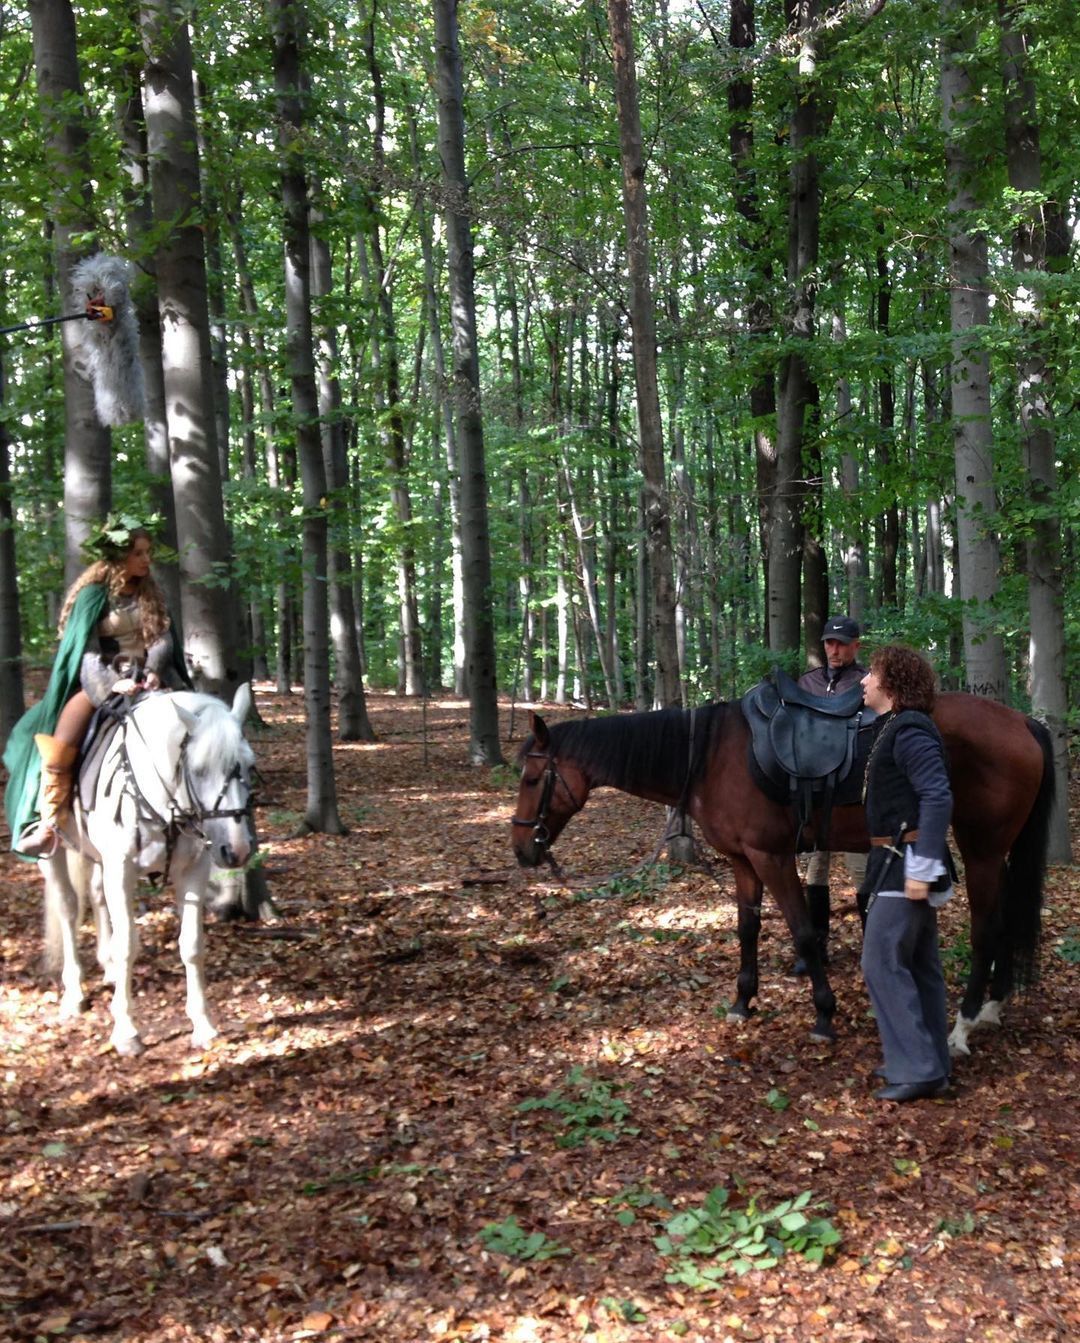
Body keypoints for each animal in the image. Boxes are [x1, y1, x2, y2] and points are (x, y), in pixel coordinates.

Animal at [41, 687, 256, 1052]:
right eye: (199, 770)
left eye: (248, 766)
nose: (236, 850)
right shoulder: (121, 870)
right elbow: (128, 945)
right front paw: (126, 1030)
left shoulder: (193, 871)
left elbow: (192, 944)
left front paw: (203, 1024)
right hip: (52, 853)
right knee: (68, 910)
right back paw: (74, 995)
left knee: (96, 897)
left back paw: (108, 969)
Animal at [510, 698, 1053, 1052]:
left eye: (532, 779)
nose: (521, 849)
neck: (708, 756)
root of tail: (1022, 721)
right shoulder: (742, 860)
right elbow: (747, 927)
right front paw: (742, 1001)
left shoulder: (771, 857)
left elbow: (804, 931)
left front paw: (824, 1014)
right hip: (996, 853)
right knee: (1003, 924)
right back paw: (993, 1007)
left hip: (981, 850)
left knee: (985, 930)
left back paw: (963, 1025)